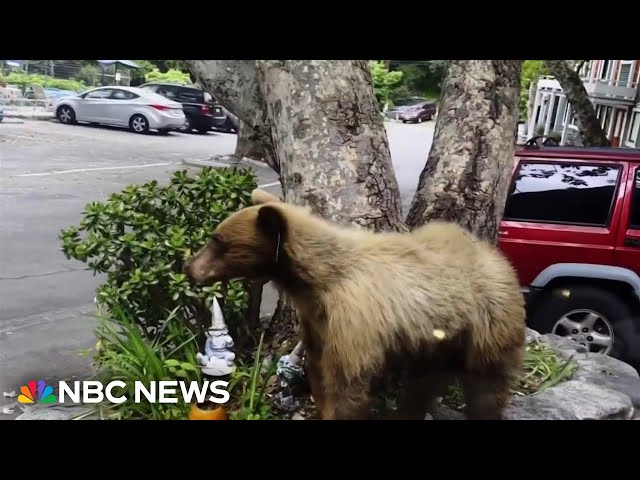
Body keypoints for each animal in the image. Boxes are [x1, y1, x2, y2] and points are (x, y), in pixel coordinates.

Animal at [184, 188, 524, 420]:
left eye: (218, 241)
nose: (189, 266)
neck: (316, 281)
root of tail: (500, 261)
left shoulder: (353, 321)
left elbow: (347, 385)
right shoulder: (317, 321)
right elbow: (319, 371)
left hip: (488, 329)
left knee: (486, 390)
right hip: (438, 344)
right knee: (423, 386)